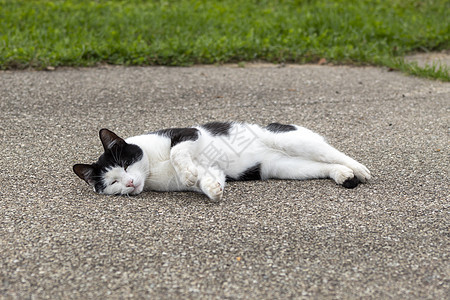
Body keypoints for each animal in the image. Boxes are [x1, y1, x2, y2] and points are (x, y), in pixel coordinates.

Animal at [73, 120, 370, 200]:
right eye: (112, 183)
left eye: (125, 164)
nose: (130, 183)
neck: (151, 171)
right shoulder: (212, 169)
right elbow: (208, 180)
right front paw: (213, 190)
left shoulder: (186, 134)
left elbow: (177, 152)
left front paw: (188, 172)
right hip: (287, 167)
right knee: (323, 166)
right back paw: (343, 175)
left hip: (292, 140)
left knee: (333, 152)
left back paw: (359, 169)